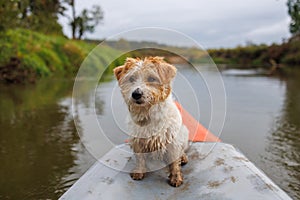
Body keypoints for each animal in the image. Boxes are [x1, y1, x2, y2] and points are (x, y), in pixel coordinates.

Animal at [113, 56, 189, 188]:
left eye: (151, 78)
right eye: (131, 79)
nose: (136, 94)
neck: (147, 114)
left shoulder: (171, 140)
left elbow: (174, 162)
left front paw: (175, 178)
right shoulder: (137, 141)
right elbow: (139, 159)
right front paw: (139, 172)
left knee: (182, 150)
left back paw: (183, 157)